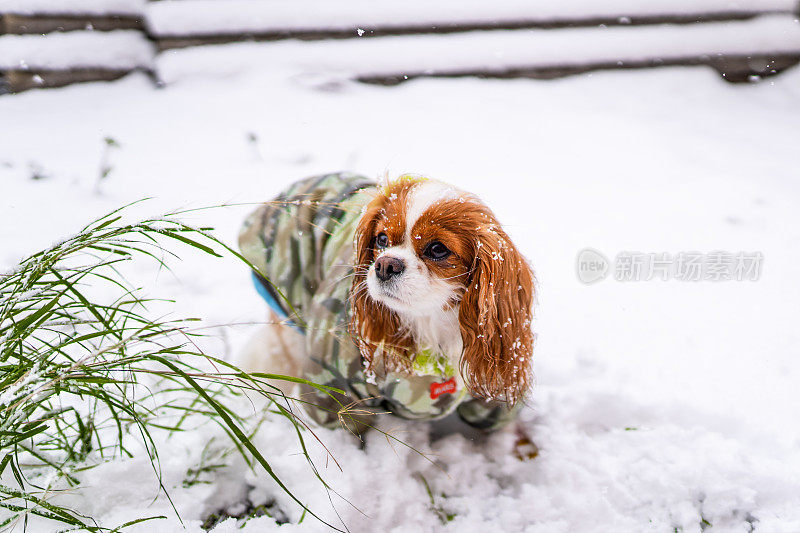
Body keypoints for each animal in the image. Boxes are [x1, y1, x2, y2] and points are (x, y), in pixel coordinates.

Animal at [241, 172, 536, 434]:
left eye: (438, 249)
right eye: (382, 239)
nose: (385, 265)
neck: (430, 327)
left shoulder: (493, 398)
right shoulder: (336, 392)